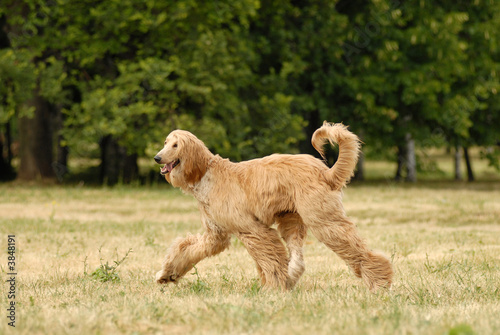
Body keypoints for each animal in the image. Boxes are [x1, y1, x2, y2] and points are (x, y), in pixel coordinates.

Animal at [154, 122, 392, 292]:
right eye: (165, 142)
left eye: (175, 145)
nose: (157, 157)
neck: (205, 174)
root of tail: (325, 171)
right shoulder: (215, 234)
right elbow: (187, 249)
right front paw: (167, 274)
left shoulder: (252, 229)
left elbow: (269, 258)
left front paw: (272, 288)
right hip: (292, 218)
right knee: (297, 257)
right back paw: (291, 278)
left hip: (322, 218)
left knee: (353, 248)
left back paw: (379, 282)